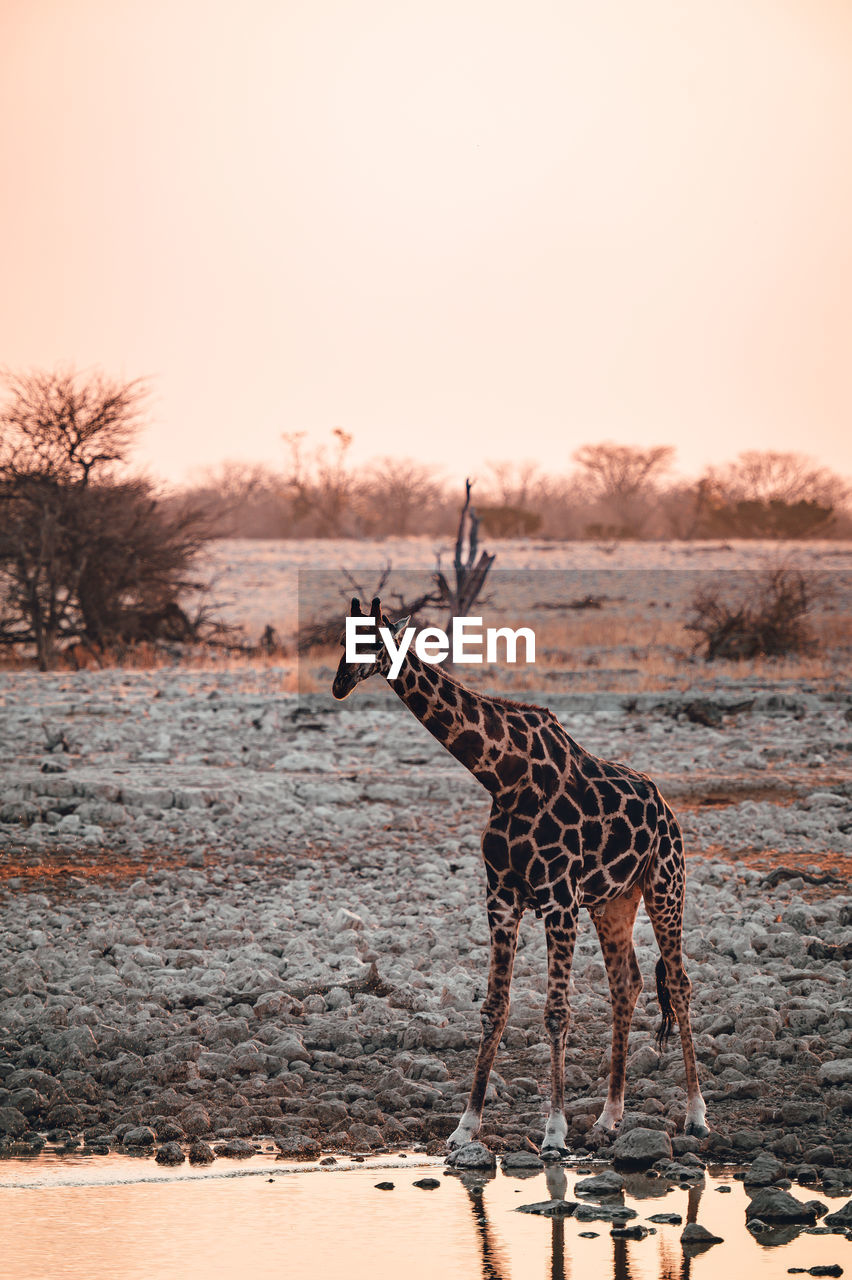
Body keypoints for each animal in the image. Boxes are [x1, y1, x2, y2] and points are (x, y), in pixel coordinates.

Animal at [327, 596, 706, 1152]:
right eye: (342, 638)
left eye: (373, 641)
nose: (340, 683)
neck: (503, 777)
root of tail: (666, 807)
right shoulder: (502, 898)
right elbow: (494, 1008)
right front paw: (466, 1126)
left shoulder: (558, 898)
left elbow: (556, 1012)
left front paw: (554, 1132)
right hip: (614, 902)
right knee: (627, 983)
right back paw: (609, 1118)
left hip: (665, 886)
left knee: (678, 984)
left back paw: (697, 1116)